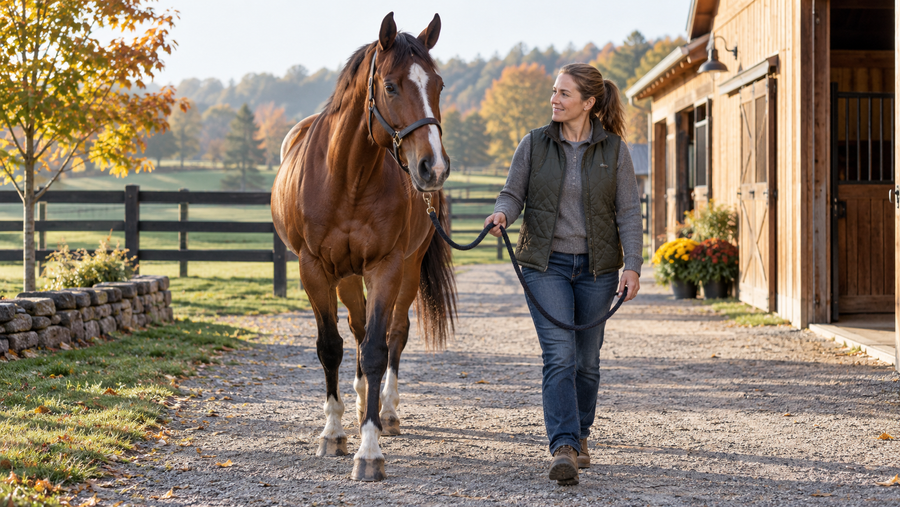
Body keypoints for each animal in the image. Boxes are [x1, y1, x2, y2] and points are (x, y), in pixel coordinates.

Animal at [271, 12, 455, 482]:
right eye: (390, 86)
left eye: (438, 84)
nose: (432, 167)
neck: (347, 176)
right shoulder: (314, 269)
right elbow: (331, 347)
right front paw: (333, 432)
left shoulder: (386, 267)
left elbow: (376, 349)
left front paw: (369, 451)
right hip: (347, 275)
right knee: (354, 330)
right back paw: (356, 405)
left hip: (407, 268)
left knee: (394, 333)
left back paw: (385, 410)